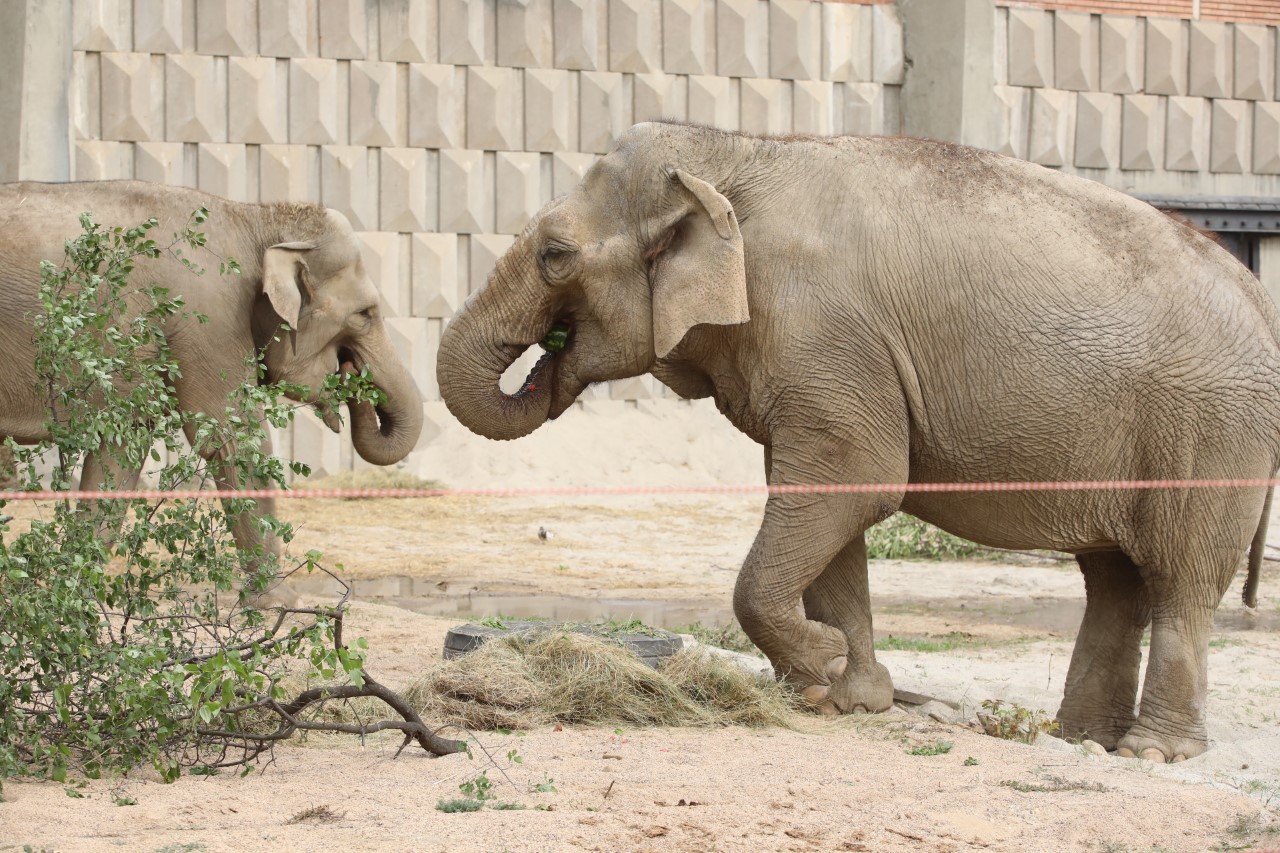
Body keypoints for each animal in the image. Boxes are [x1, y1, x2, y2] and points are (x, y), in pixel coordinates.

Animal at [1, 178, 424, 596]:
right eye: (365, 314)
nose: (351, 372)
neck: (253, 218)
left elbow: (121, 452)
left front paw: (78, 594)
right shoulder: (207, 320)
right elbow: (235, 440)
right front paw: (280, 601)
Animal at [440, 119, 1280, 758]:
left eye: (554, 254)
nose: (547, 360)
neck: (735, 152)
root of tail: (1260, 295)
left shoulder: (824, 337)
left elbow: (856, 480)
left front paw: (824, 665)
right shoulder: (811, 362)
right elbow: (827, 501)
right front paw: (849, 695)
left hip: (1213, 433)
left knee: (1178, 577)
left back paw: (1151, 752)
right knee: (1115, 579)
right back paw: (1082, 739)